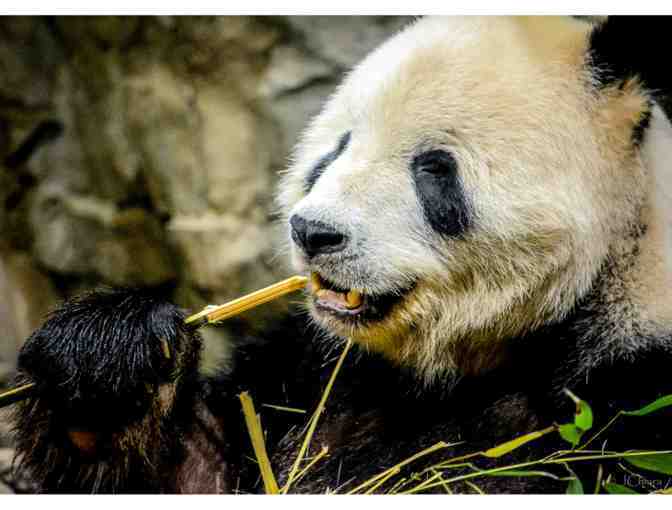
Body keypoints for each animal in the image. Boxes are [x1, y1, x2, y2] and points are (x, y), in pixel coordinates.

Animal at [6, 15, 672, 494]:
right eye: (338, 146)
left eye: (434, 169)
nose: (313, 232)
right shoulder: (316, 366)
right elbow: (198, 470)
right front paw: (107, 363)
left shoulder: (627, 390)